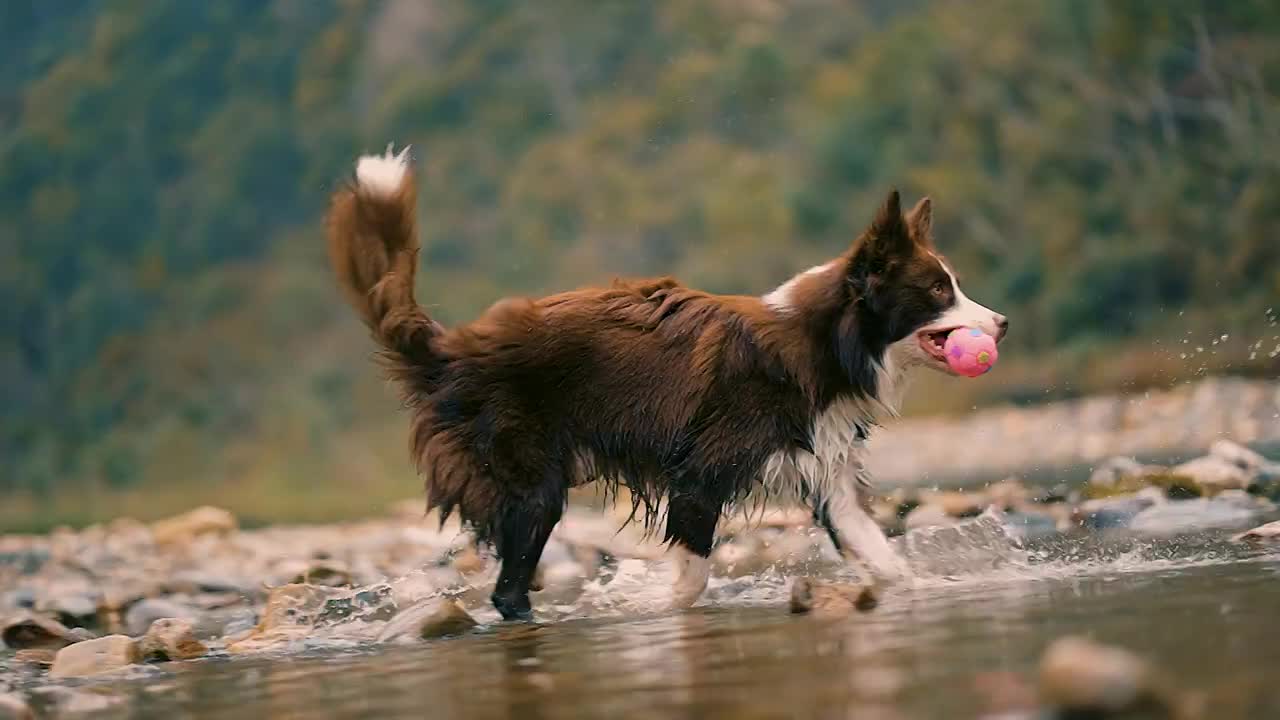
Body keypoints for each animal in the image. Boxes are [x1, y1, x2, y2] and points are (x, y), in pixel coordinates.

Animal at [325, 144, 1003, 617]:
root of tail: (451, 348)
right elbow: (693, 574)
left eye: (954, 284)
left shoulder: (826, 473)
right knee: (508, 592)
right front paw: (653, 608)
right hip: (531, 487)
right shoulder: (700, 472)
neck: (824, 345)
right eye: (938, 290)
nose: (1001, 322)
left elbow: (885, 559)